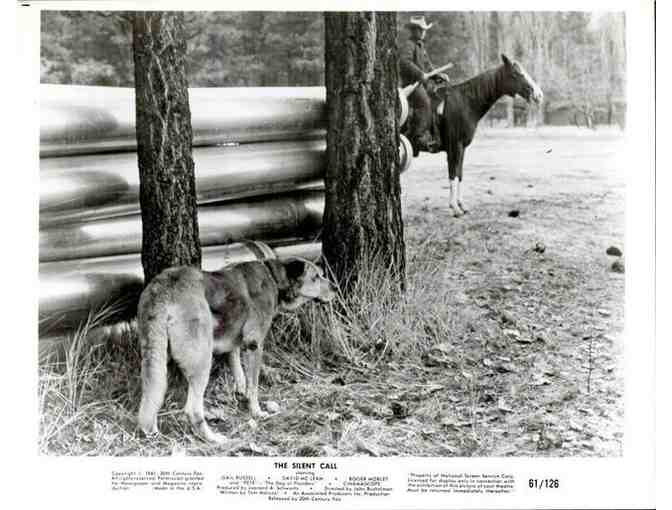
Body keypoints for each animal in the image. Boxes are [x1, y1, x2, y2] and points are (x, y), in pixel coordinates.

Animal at [136, 258, 336, 442]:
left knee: (152, 397)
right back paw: (213, 438)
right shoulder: (254, 345)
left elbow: (239, 372)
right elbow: (253, 385)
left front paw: (241, 393)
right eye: (316, 277)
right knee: (192, 409)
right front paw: (256, 412)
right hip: (202, 361)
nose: (335, 288)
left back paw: (153, 432)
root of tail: (164, 287)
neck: (273, 276)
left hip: (156, 357)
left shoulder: (234, 345)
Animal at [406, 54, 544, 217]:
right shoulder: (455, 147)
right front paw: (455, 207)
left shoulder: (462, 148)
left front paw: (461, 205)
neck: (465, 103)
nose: (538, 94)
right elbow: (453, 173)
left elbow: (459, 174)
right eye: (517, 73)